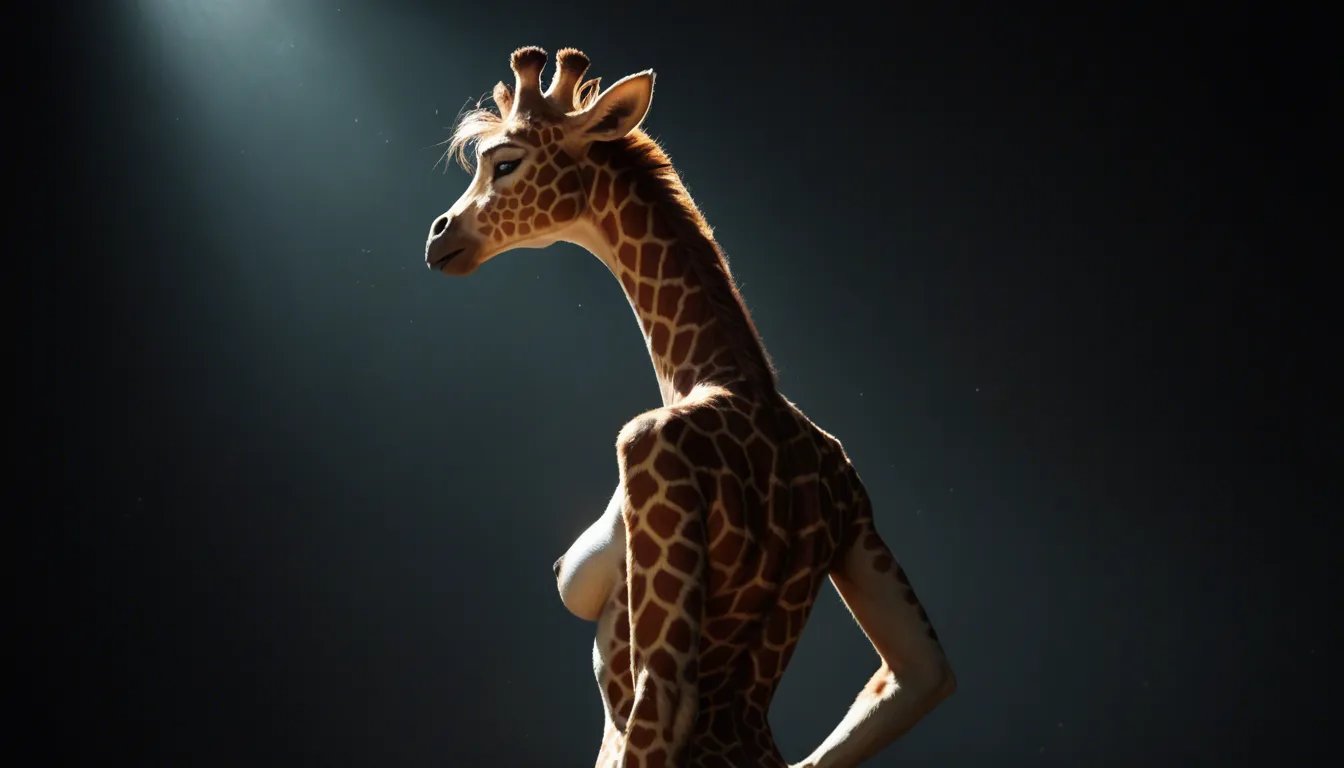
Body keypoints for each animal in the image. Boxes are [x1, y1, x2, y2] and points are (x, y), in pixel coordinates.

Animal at [425, 47, 957, 768]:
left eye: (505, 161)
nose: (437, 237)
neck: (722, 372)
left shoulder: (646, 451)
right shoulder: (859, 507)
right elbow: (922, 671)